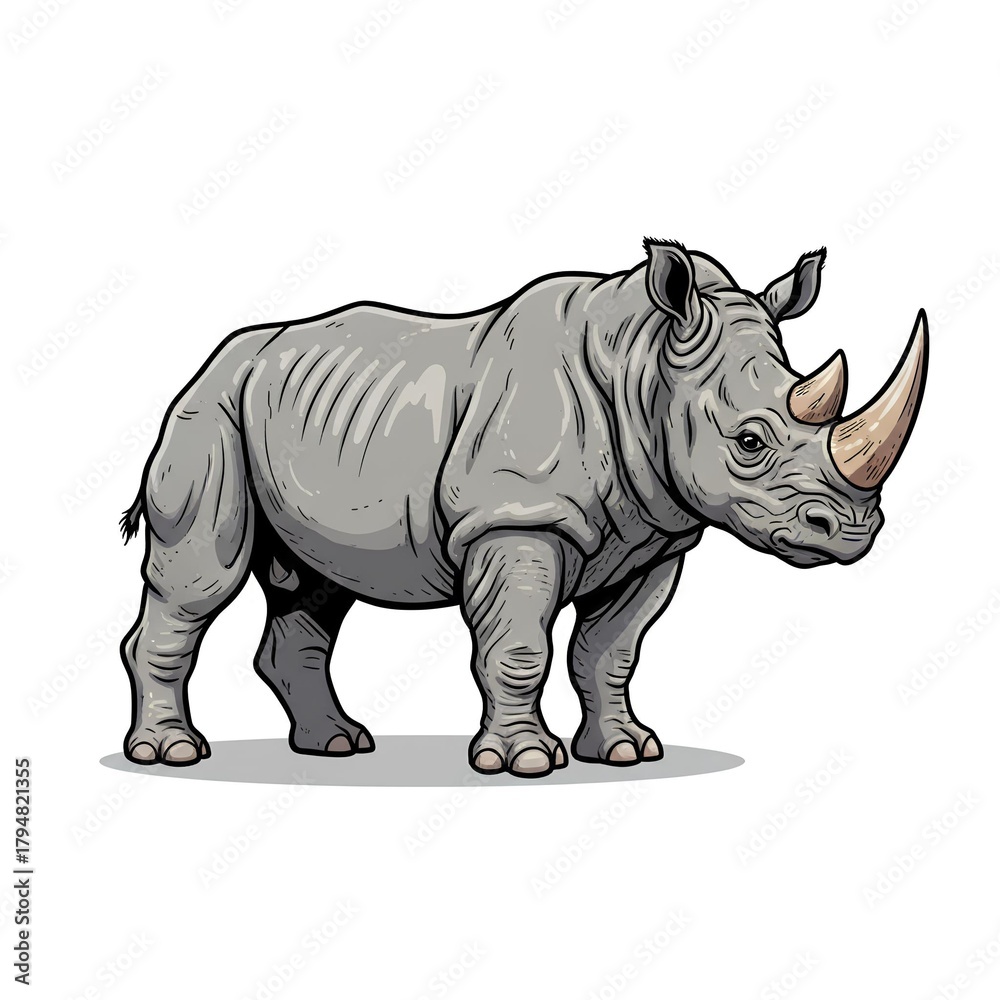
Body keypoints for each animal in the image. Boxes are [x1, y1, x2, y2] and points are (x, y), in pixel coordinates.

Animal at [119, 239, 927, 777]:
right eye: (750, 440)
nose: (853, 531)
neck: (643, 366)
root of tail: (216, 358)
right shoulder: (517, 517)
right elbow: (518, 646)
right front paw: (525, 763)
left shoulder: (656, 536)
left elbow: (610, 651)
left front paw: (627, 751)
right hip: (208, 412)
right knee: (200, 579)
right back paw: (172, 755)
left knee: (315, 585)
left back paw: (339, 745)